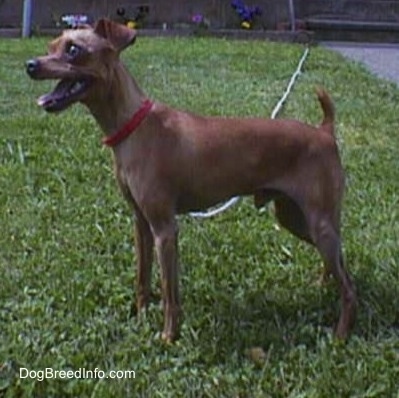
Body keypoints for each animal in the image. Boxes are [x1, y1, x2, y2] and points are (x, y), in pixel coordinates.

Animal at [26, 18, 358, 342]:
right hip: (296, 218)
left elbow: (170, 294)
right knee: (340, 262)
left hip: (318, 223)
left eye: (73, 50)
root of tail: (324, 131)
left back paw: (341, 334)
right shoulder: (141, 224)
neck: (134, 125)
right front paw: (141, 316)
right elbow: (142, 278)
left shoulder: (165, 230)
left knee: (348, 286)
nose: (30, 64)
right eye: (50, 46)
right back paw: (324, 286)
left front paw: (168, 337)